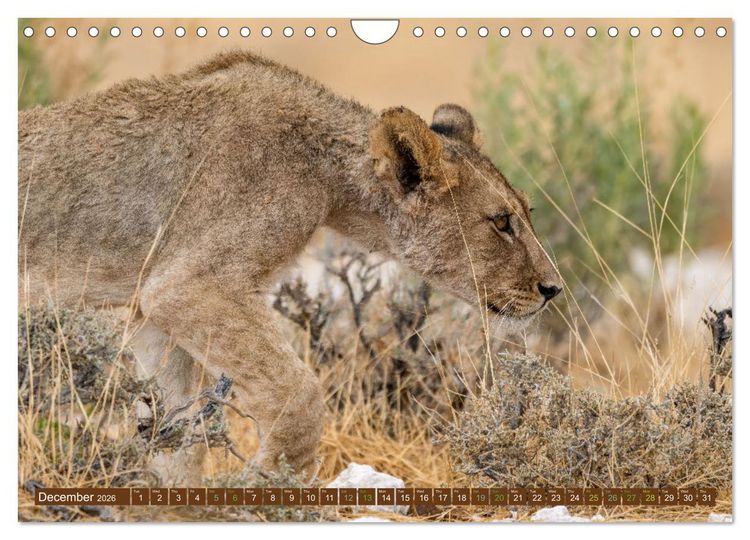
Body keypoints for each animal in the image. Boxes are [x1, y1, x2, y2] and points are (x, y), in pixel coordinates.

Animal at [18, 51, 561, 483]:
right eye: (501, 222)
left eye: (526, 212)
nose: (552, 288)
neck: (326, 174)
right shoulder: (185, 285)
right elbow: (297, 393)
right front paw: (269, 483)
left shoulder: (148, 309)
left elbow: (178, 424)